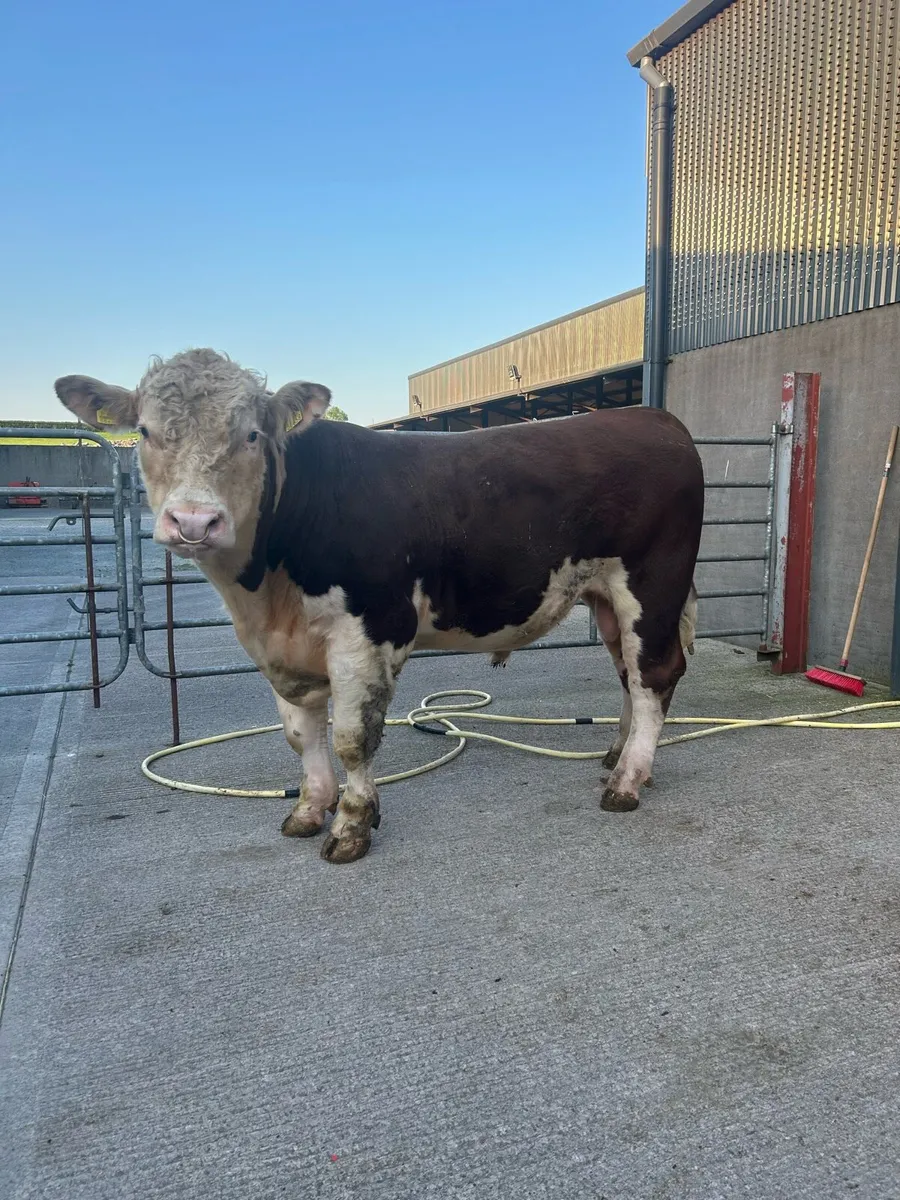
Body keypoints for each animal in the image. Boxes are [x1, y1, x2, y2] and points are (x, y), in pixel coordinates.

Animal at [56, 349, 704, 864]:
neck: (263, 595)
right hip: (606, 598)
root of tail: (653, 416)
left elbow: (351, 738)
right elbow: (301, 734)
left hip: (653, 585)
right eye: (144, 431)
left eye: (251, 435)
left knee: (655, 675)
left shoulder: (369, 631)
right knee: (628, 673)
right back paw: (618, 754)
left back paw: (627, 781)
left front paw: (351, 825)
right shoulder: (282, 648)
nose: (194, 521)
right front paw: (310, 809)